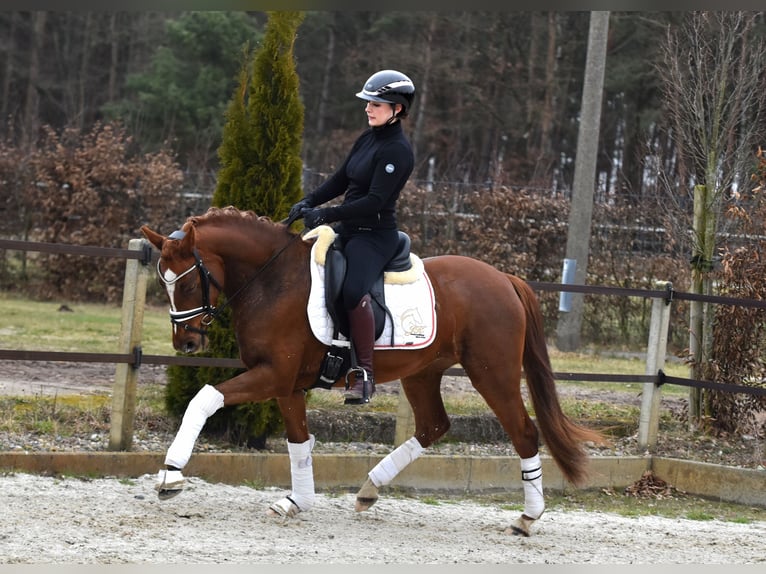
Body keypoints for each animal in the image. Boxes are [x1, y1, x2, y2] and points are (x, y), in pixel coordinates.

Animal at [140, 207, 608, 540]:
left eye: (186, 283)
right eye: (163, 283)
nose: (186, 344)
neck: (272, 280)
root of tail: (504, 278)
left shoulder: (272, 375)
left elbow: (204, 398)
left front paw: (171, 475)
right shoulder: (287, 384)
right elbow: (298, 441)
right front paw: (297, 501)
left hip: (492, 374)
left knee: (524, 433)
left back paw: (527, 518)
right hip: (423, 372)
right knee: (434, 426)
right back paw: (369, 488)